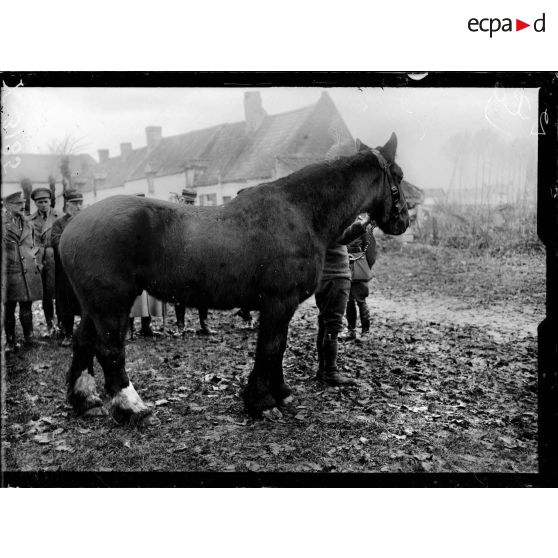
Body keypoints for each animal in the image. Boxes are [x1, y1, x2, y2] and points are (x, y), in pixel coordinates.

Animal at [60, 136, 412, 424]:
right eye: (399, 176)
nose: (404, 221)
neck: (300, 212)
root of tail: (70, 228)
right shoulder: (278, 302)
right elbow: (269, 347)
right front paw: (261, 403)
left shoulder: (282, 306)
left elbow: (279, 347)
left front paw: (281, 393)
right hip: (112, 304)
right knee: (109, 349)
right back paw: (132, 408)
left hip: (95, 306)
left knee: (83, 341)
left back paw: (86, 401)